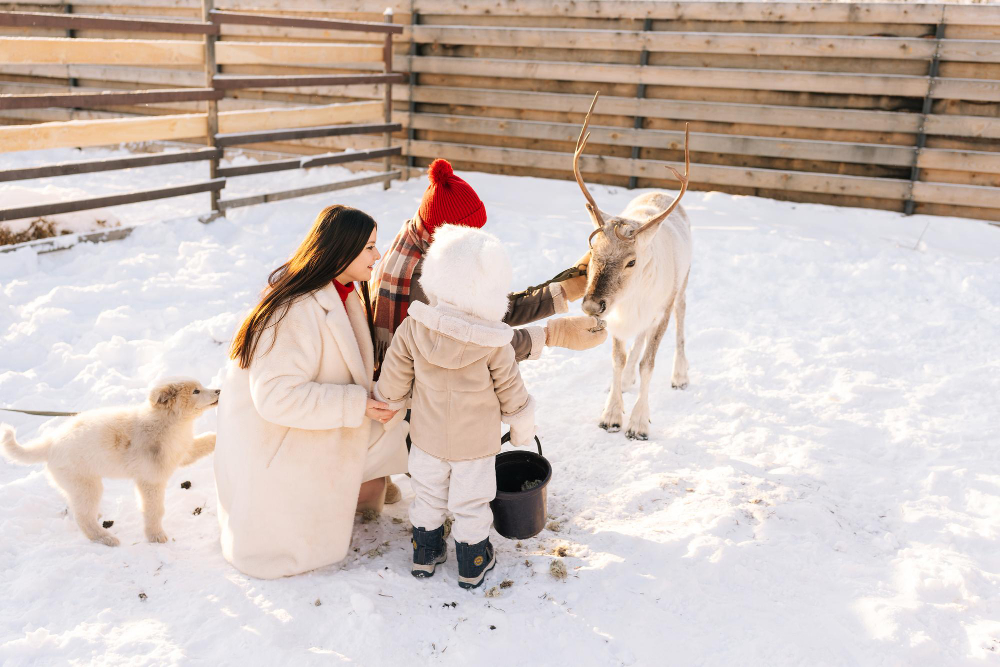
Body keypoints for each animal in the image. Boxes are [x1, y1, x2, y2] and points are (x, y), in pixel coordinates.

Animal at [0, 378, 219, 544]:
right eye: (196, 391)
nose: (218, 390)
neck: (168, 423)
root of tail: (50, 443)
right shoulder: (150, 481)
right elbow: (154, 510)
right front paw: (156, 536)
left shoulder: (183, 452)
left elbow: (206, 441)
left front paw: (220, 436)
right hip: (87, 485)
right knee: (83, 518)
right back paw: (106, 538)